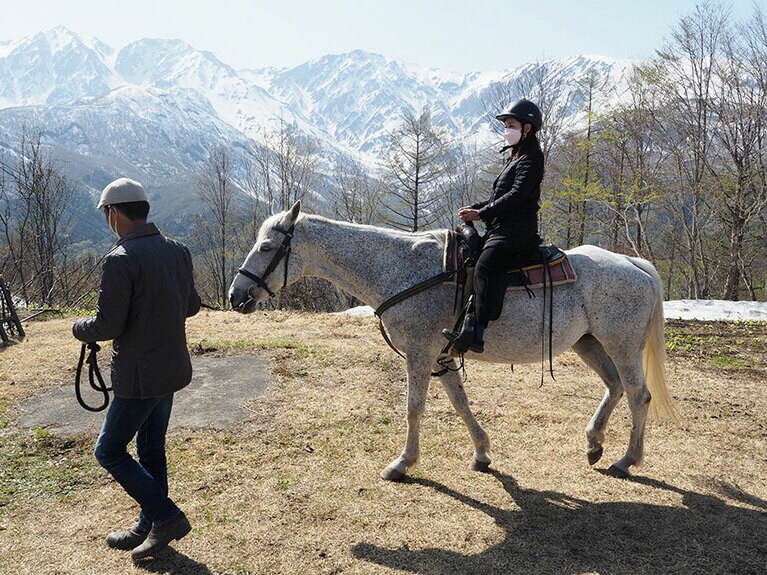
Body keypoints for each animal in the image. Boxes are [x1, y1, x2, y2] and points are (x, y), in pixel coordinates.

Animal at [229, 201, 676, 480]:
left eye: (266, 246)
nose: (236, 295)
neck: (401, 268)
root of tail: (632, 262)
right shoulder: (441, 357)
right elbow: (460, 404)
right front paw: (481, 453)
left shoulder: (419, 352)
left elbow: (414, 408)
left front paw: (402, 463)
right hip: (589, 343)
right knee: (615, 387)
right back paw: (594, 444)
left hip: (621, 345)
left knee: (639, 396)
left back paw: (626, 460)